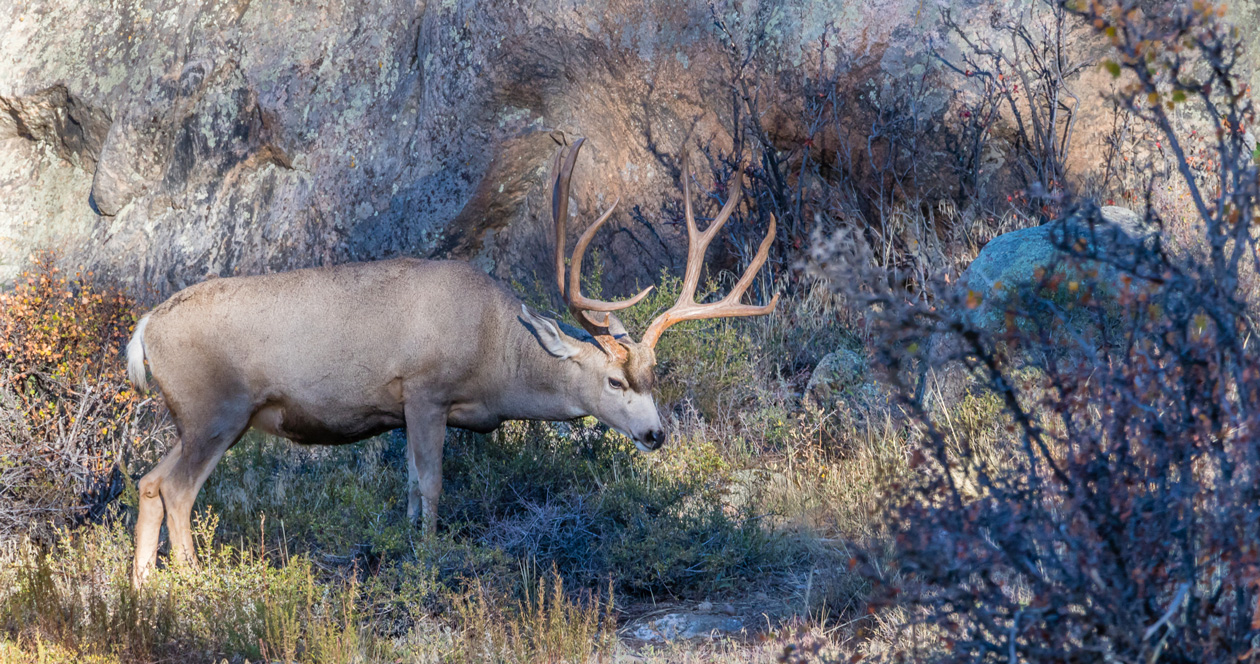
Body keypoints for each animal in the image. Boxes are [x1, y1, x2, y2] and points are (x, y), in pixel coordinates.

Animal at [127, 137, 776, 584]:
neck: (495, 350)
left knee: (149, 481)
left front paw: (411, 545)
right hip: (218, 408)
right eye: (615, 380)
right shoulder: (423, 390)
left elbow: (413, 488)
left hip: (197, 418)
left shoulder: (410, 410)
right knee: (178, 490)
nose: (655, 434)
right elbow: (433, 485)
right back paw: (195, 582)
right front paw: (432, 556)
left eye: (655, 375)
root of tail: (145, 327)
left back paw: (142, 587)